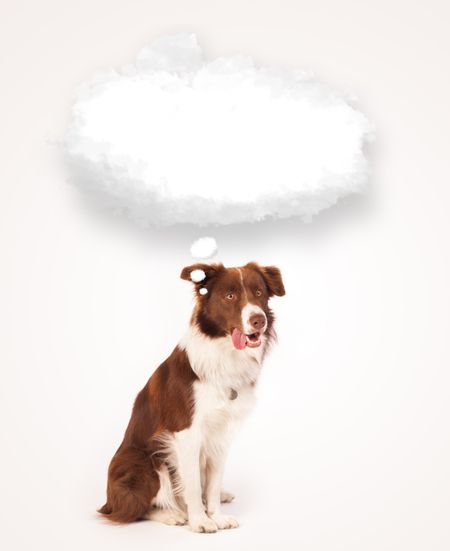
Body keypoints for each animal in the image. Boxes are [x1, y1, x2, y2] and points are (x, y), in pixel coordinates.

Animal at [100, 260, 286, 532]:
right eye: (230, 296)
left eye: (259, 293)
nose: (258, 320)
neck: (225, 356)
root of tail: (107, 500)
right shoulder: (186, 432)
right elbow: (194, 485)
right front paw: (200, 520)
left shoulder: (221, 432)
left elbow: (212, 484)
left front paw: (216, 515)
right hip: (144, 462)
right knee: (134, 508)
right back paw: (172, 514)